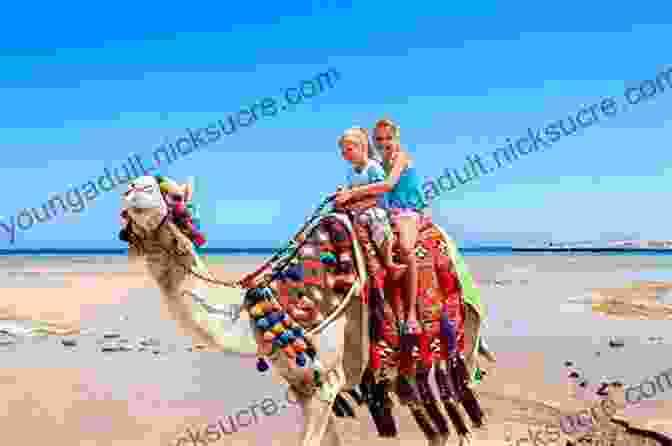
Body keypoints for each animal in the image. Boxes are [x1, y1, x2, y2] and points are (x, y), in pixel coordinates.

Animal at [119, 175, 494, 446]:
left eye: (171, 194)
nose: (135, 187)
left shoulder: (325, 382)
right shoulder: (301, 386)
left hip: (462, 334)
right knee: (433, 423)